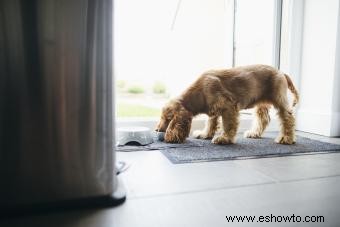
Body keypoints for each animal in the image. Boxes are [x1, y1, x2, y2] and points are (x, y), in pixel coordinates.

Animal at [155, 64, 298, 145]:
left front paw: (224, 139)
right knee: (263, 119)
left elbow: (228, 125)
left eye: (167, 119)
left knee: (288, 118)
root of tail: (281, 72)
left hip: (279, 99)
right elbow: (211, 123)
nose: (157, 130)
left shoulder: (228, 106)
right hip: (261, 104)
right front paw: (205, 134)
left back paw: (286, 138)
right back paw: (254, 133)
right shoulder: (213, 109)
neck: (199, 91)